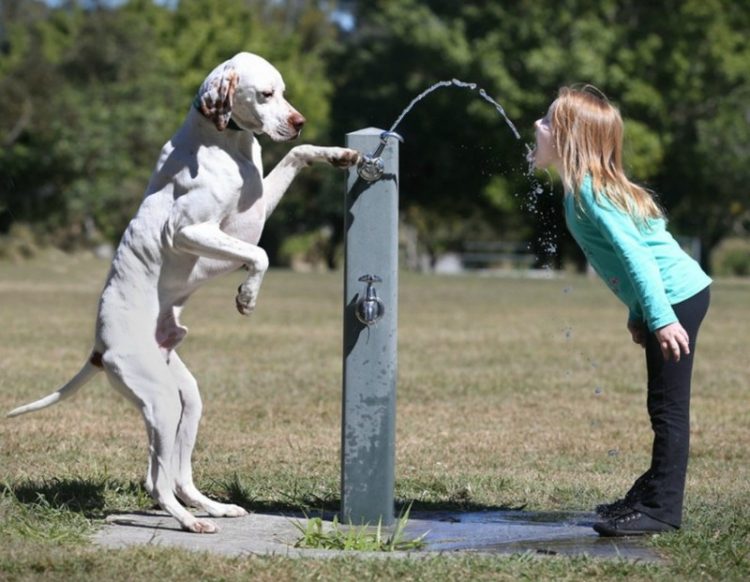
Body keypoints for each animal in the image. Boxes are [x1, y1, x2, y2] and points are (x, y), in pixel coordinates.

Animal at [7, 53, 362, 532]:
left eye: (284, 92)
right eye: (265, 94)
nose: (299, 121)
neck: (224, 142)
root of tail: (99, 348)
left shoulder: (254, 211)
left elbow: (295, 155)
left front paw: (338, 155)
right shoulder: (191, 230)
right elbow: (261, 254)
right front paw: (247, 296)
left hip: (185, 400)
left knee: (176, 475)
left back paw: (213, 507)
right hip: (160, 403)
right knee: (157, 482)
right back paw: (191, 522)